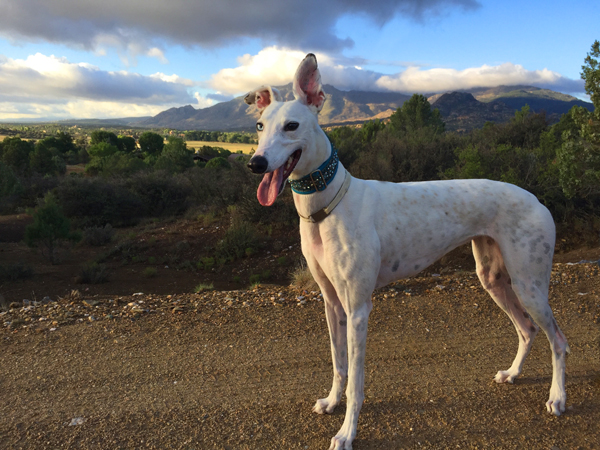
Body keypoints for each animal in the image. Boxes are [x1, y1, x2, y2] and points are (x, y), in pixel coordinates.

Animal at [244, 54, 568, 448]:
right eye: (259, 126)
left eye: (291, 126)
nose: (256, 163)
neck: (329, 205)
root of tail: (537, 200)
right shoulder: (331, 303)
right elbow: (338, 366)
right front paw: (332, 403)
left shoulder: (358, 309)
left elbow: (356, 381)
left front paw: (347, 432)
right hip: (492, 278)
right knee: (527, 329)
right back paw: (513, 373)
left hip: (529, 283)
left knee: (558, 340)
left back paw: (557, 397)